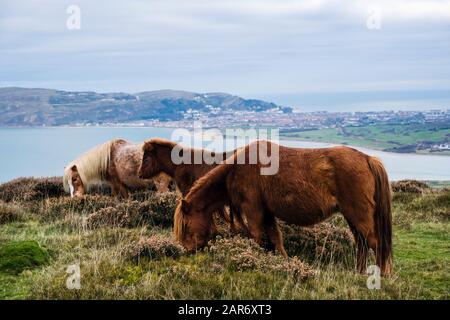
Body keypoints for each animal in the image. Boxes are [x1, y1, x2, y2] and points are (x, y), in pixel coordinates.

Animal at [174, 140, 392, 276]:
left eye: (185, 226)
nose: (188, 251)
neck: (236, 169)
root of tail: (368, 159)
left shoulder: (253, 211)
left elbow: (256, 237)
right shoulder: (267, 213)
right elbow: (276, 239)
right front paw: (283, 262)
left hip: (359, 215)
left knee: (375, 243)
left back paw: (382, 275)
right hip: (352, 216)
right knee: (362, 243)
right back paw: (359, 272)